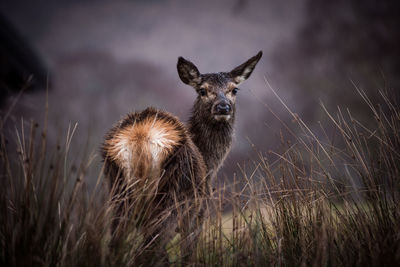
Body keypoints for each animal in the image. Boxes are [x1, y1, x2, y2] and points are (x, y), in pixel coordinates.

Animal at [101, 51, 262, 264]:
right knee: (149, 250)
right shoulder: (198, 215)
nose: (223, 107)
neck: (209, 161)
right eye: (202, 90)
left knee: (116, 246)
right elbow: (187, 255)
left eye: (234, 89)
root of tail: (140, 137)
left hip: (119, 191)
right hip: (173, 196)